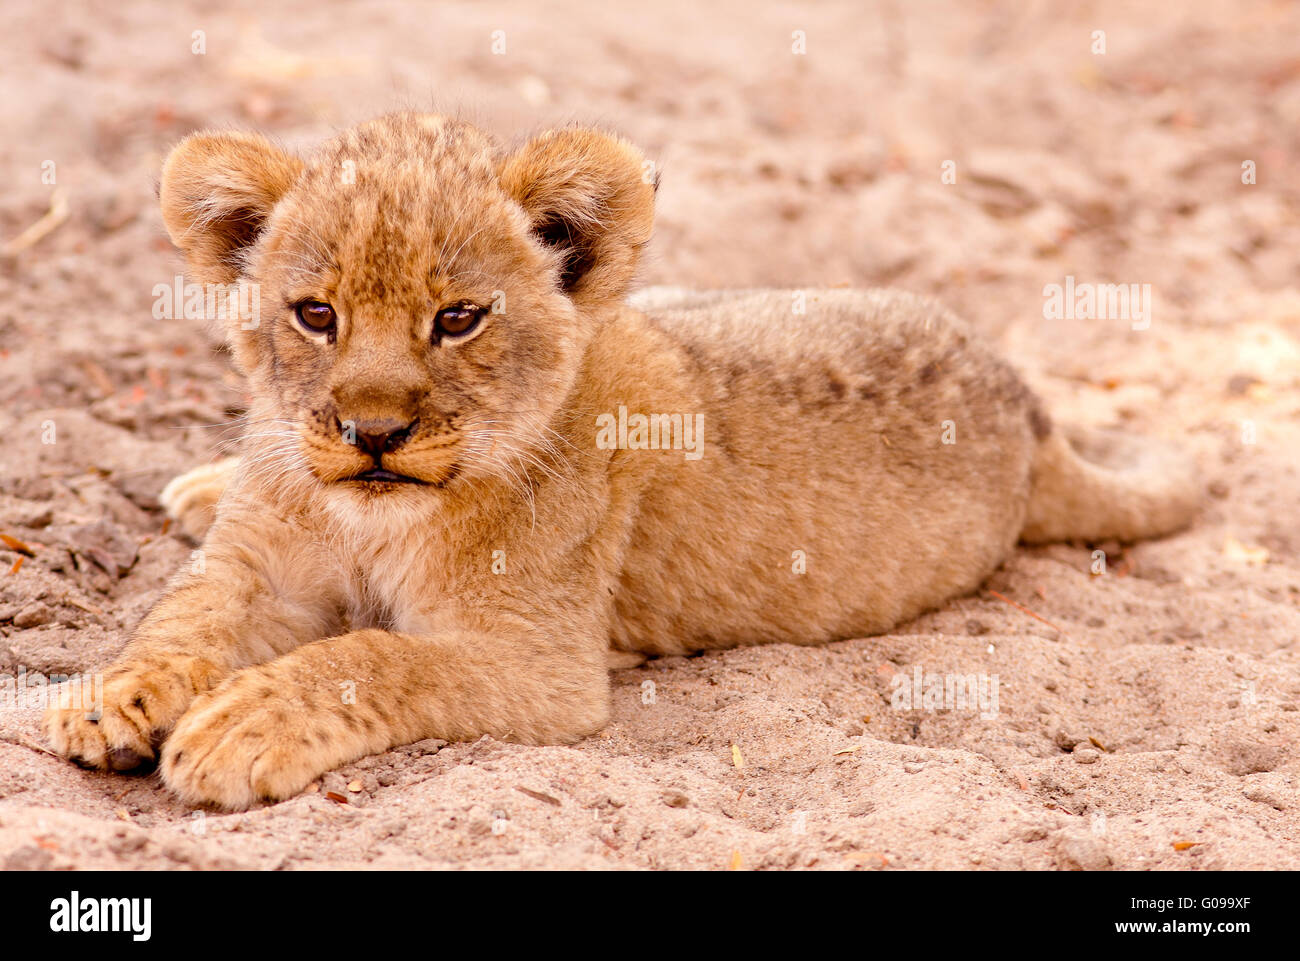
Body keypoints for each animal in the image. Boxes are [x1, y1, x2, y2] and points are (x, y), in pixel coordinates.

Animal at [45, 113, 1200, 809]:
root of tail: (1027, 401)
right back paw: (201, 485)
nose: (371, 433)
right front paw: (109, 697)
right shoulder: (260, 569)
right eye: (314, 313)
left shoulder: (541, 663)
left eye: (458, 318)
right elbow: (183, 616)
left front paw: (236, 723)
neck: (372, 515)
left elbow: (367, 657)